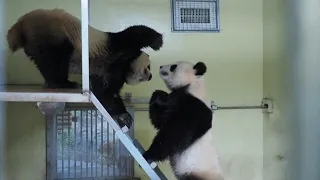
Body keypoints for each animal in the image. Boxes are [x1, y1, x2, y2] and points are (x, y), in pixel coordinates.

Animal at [6, 8, 165, 128]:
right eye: (148, 67)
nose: (150, 76)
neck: (125, 64)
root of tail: (21, 24)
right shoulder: (117, 48)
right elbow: (134, 33)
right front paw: (158, 42)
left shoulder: (106, 71)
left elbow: (105, 92)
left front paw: (122, 114)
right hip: (52, 33)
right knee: (56, 57)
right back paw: (64, 83)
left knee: (45, 62)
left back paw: (54, 82)